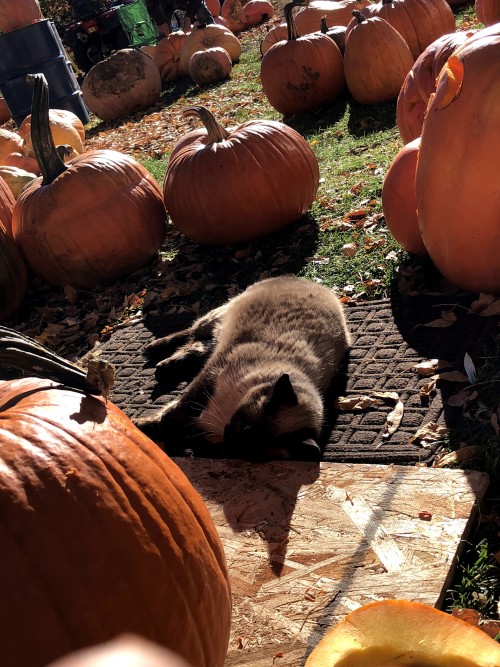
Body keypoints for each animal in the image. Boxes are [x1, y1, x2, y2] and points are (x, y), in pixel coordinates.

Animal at [135, 276, 350, 460]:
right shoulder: (210, 377)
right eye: (243, 427)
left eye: (248, 450)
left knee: (199, 345)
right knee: (192, 334)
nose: (230, 440)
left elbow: (178, 426)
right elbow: (173, 414)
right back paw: (154, 352)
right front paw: (141, 426)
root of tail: (316, 284)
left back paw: (163, 367)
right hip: (216, 318)